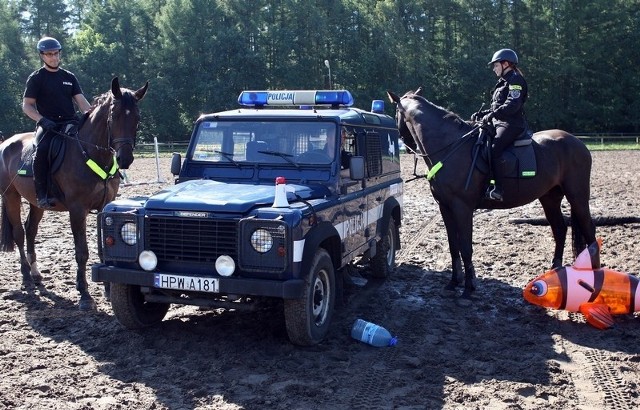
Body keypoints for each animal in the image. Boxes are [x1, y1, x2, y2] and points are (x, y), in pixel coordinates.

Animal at [0, 77, 148, 310]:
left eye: (137, 118)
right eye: (114, 116)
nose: (125, 159)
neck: (92, 153)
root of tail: (6, 143)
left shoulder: (103, 207)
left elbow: (102, 248)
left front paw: (107, 289)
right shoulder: (77, 210)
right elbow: (82, 251)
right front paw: (85, 295)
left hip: (36, 202)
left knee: (30, 230)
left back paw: (36, 274)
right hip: (11, 197)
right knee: (19, 233)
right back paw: (26, 277)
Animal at [388, 88, 596, 298]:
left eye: (395, 114)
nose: (406, 145)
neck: (451, 147)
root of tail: (578, 143)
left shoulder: (462, 207)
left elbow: (465, 247)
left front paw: (469, 287)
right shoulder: (445, 207)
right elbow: (453, 245)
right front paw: (454, 282)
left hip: (577, 197)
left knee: (589, 231)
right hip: (550, 198)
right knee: (560, 229)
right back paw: (555, 272)